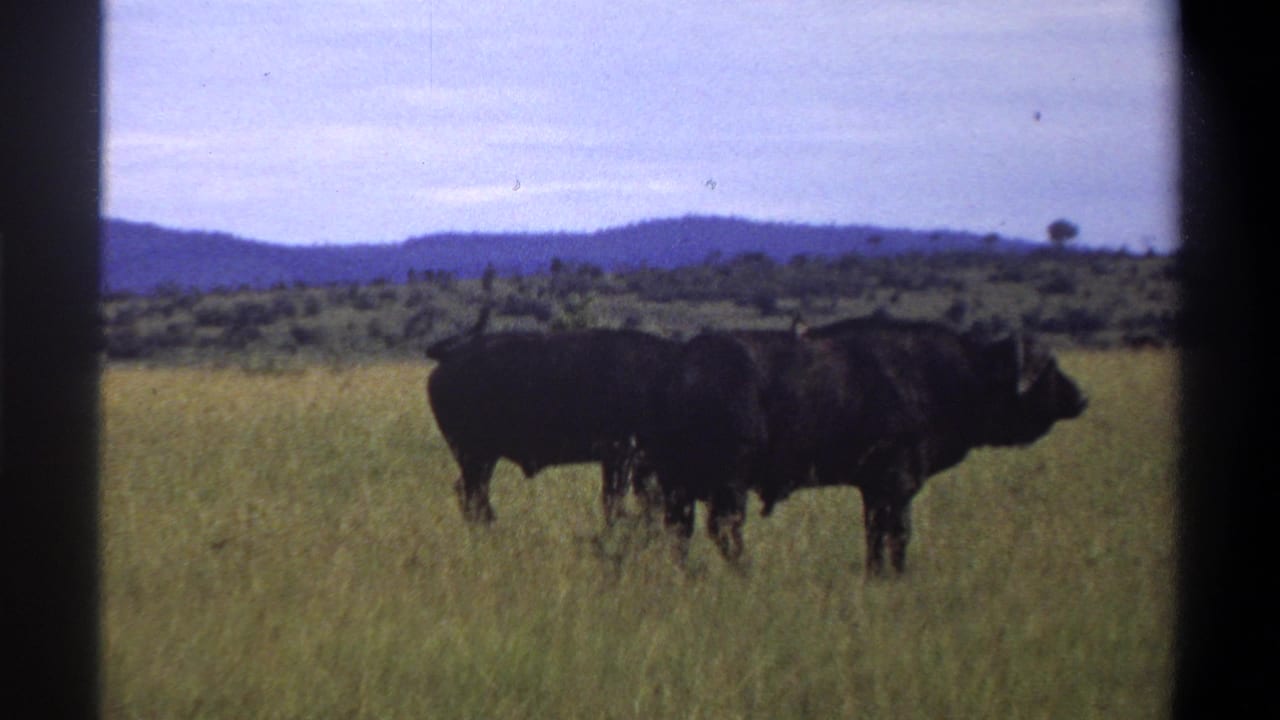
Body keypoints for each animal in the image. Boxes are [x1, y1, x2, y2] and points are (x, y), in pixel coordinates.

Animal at [426, 309, 677, 525]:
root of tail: (450, 355)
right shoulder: (621, 457)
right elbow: (615, 501)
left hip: (480, 459)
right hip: (477, 458)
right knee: (474, 496)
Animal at [648, 317, 1088, 576]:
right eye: (1047, 369)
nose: (1081, 398)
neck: (948, 377)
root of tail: (681, 369)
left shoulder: (874, 490)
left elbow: (875, 537)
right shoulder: (896, 485)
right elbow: (897, 535)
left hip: (679, 488)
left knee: (681, 531)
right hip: (727, 485)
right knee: (724, 530)